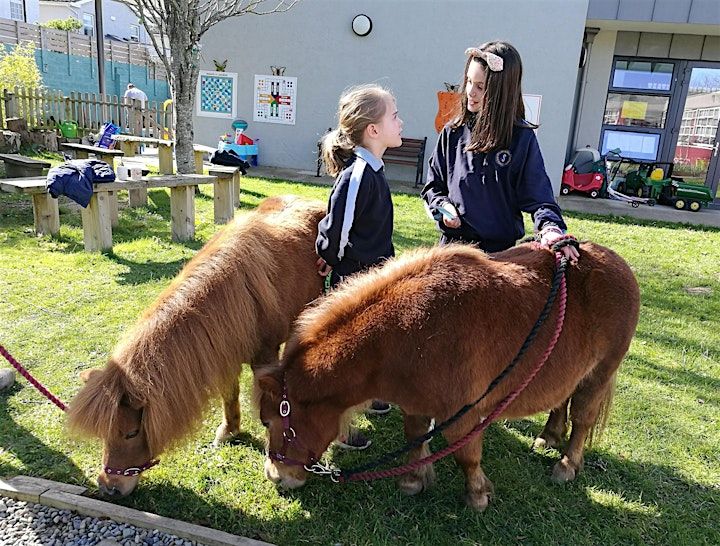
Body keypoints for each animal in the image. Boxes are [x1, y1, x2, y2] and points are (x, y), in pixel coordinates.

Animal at [67, 193, 326, 496]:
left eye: (131, 432)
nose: (109, 487)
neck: (240, 292)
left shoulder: (264, 357)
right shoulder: (226, 356)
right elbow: (229, 395)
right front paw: (229, 431)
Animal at [256, 240, 640, 508]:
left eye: (270, 421)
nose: (275, 477)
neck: (406, 333)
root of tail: (617, 262)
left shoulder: (462, 412)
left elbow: (466, 454)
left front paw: (478, 495)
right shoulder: (415, 404)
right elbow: (415, 438)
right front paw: (413, 480)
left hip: (599, 374)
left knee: (583, 418)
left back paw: (567, 465)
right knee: (561, 399)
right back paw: (549, 436)